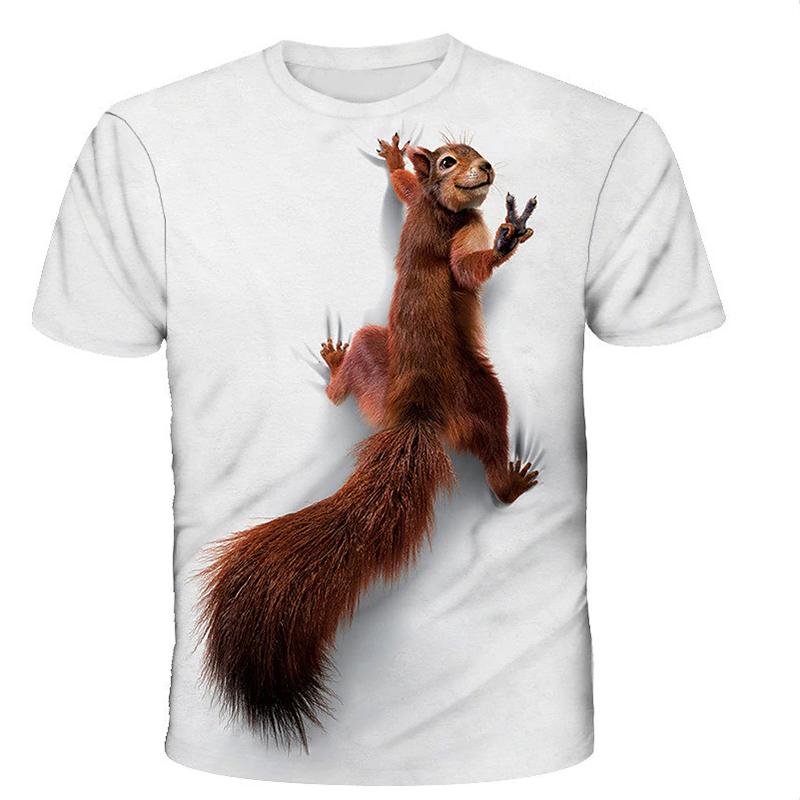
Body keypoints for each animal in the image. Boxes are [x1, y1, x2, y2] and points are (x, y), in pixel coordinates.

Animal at [199, 133, 539, 750]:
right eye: (450, 160)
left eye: (474, 151)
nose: (486, 168)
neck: (440, 208)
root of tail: (416, 415)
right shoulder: (462, 231)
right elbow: (467, 270)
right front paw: (505, 238)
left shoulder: (420, 207)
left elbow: (402, 191)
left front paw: (395, 160)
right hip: (482, 393)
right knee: (493, 449)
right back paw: (509, 481)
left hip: (375, 363)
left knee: (349, 385)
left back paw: (337, 370)